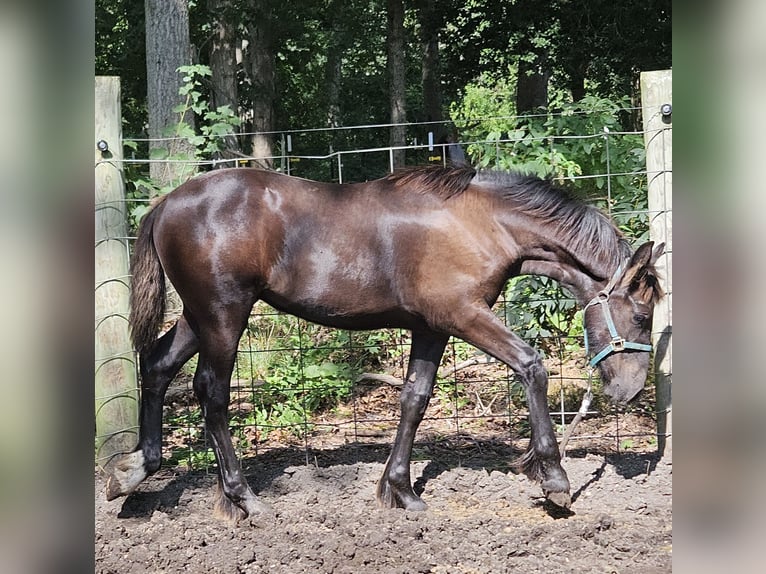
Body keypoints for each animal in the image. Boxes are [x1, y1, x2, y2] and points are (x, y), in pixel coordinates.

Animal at [105, 165, 663, 522]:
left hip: (199, 317)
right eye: (641, 314)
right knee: (212, 394)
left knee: (157, 366)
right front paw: (554, 480)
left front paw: (399, 491)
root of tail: (166, 203)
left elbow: (414, 398)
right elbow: (532, 365)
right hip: (224, 316)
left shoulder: (432, 326)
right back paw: (244, 499)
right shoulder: (462, 315)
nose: (630, 391)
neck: (481, 222)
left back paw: (135, 471)